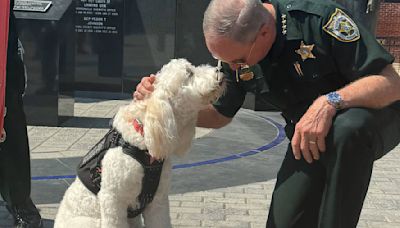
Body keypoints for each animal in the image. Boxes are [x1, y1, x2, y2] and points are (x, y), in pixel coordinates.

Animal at [54, 58, 225, 228]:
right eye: (189, 73)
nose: (219, 71)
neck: (143, 139)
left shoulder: (158, 201)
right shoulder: (113, 200)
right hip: (91, 221)